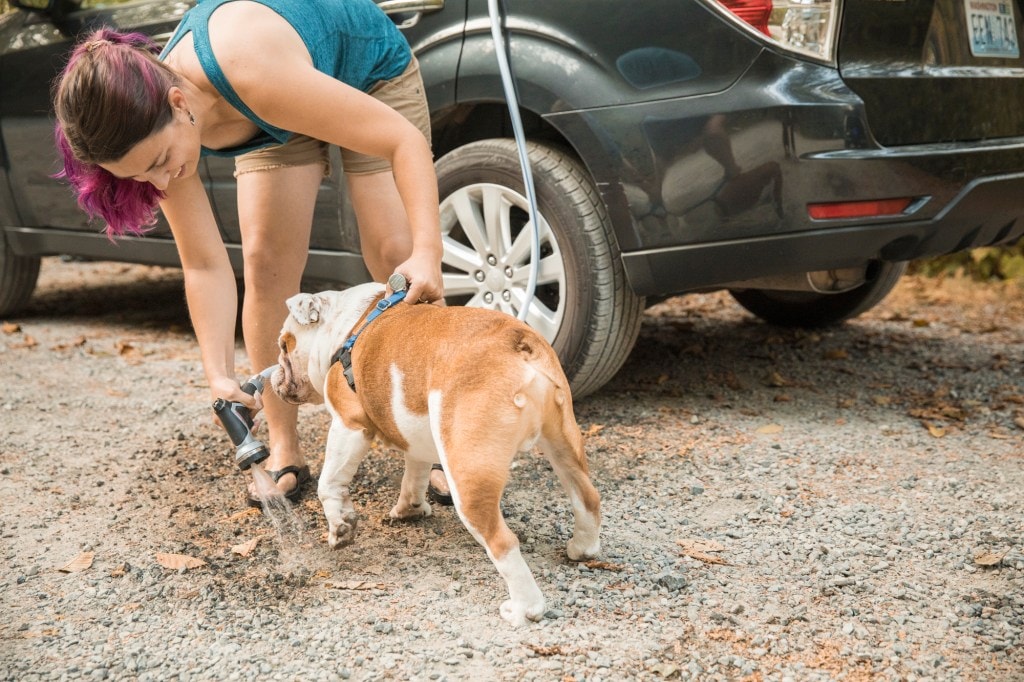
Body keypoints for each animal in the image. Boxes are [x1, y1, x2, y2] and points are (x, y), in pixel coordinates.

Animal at [272, 282, 602, 626]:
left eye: (284, 345)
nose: (272, 376)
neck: (347, 326)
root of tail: (517, 342)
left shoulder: (349, 423)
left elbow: (330, 482)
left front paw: (340, 528)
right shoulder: (415, 434)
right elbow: (414, 474)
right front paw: (410, 509)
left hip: (468, 472)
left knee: (503, 541)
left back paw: (523, 609)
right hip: (562, 438)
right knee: (586, 496)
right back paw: (583, 548)